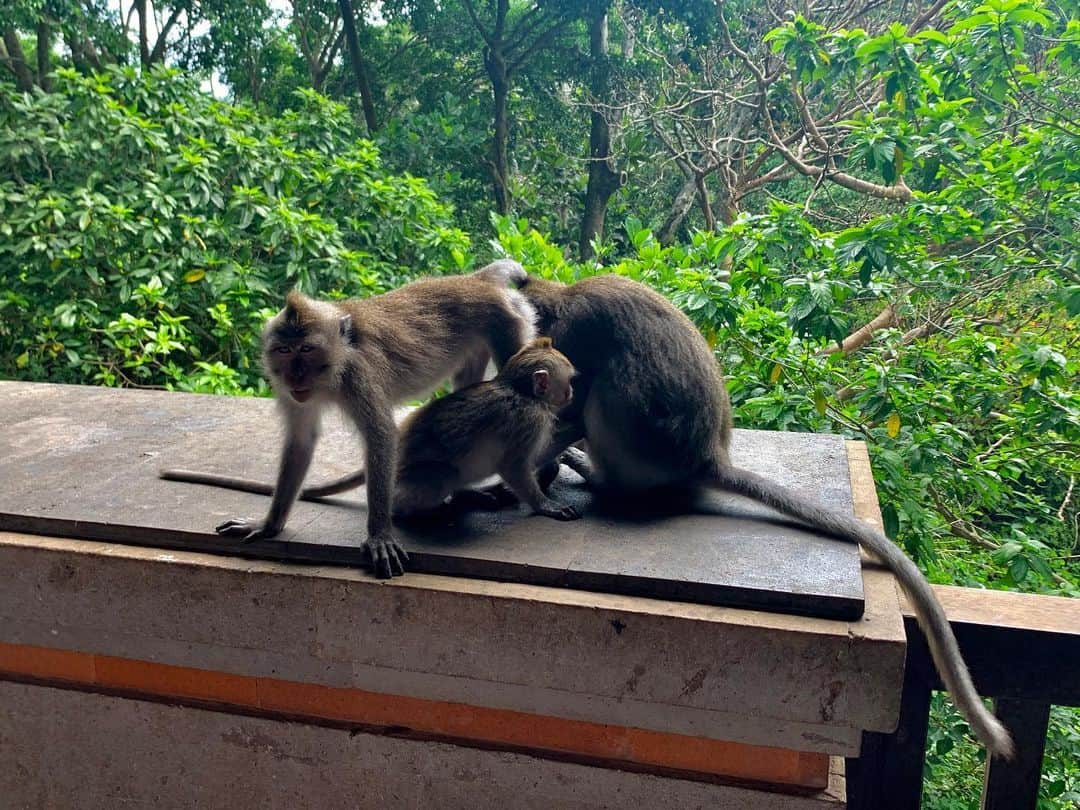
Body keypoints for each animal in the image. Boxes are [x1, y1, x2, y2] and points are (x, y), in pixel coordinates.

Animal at [163, 263, 535, 578]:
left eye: (307, 349)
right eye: (284, 351)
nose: (295, 374)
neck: (335, 368)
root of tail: (478, 279)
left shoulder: (359, 375)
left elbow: (381, 435)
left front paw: (379, 536)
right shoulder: (291, 393)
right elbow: (300, 441)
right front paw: (268, 525)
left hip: (507, 323)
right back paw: (463, 493)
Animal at [505, 274, 1010, 760]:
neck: (560, 298)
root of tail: (707, 458)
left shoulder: (572, 342)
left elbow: (570, 407)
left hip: (637, 443)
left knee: (606, 396)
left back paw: (600, 479)